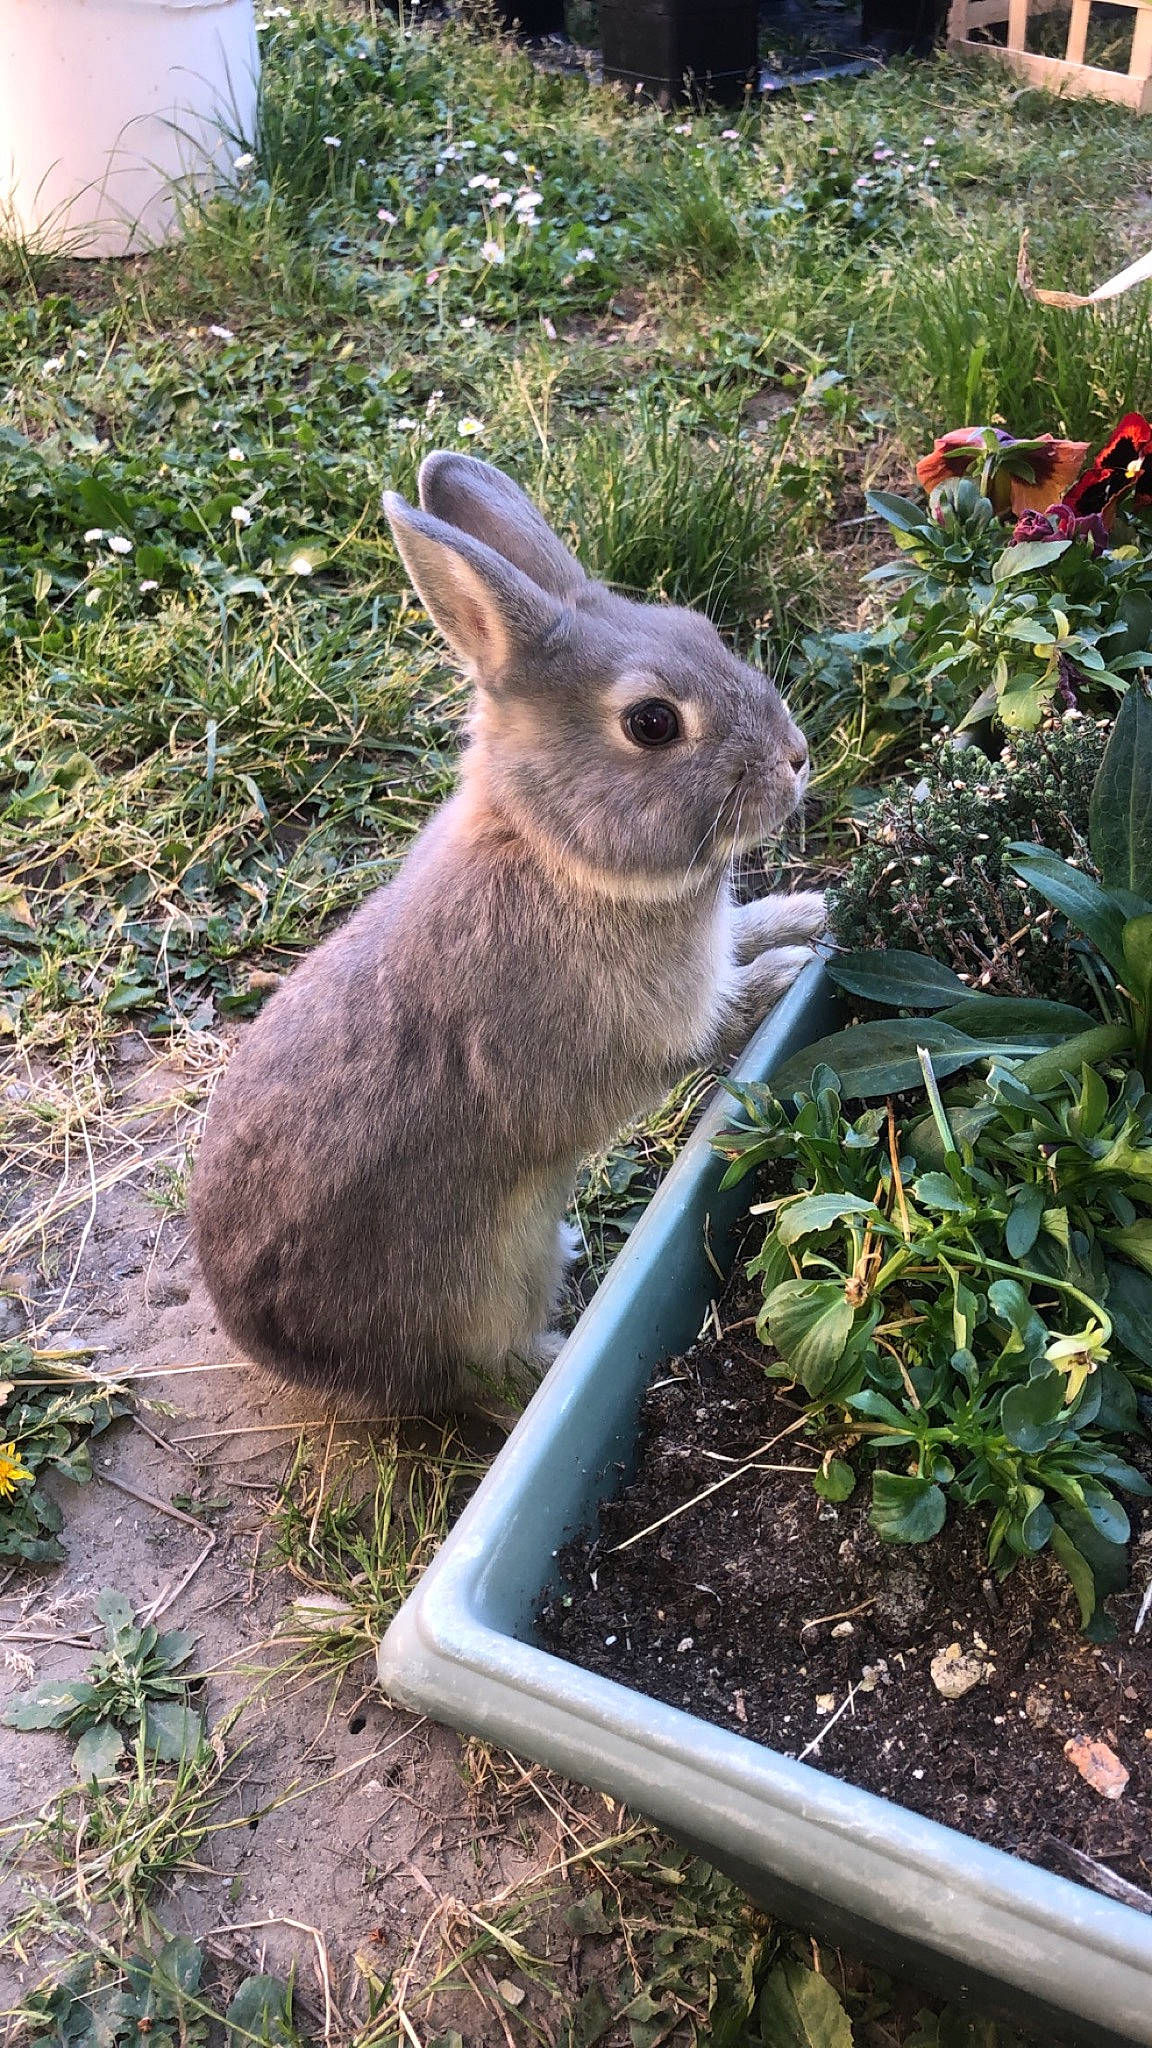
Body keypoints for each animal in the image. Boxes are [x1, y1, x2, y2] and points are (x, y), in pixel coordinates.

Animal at [190, 452, 825, 1413]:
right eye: (651, 722)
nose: (795, 757)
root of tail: (277, 1354)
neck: (551, 849)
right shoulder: (623, 1043)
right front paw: (789, 969)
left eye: (700, 626)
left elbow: (744, 932)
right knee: (491, 1374)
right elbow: (714, 1026)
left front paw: (809, 913)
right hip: (485, 1291)